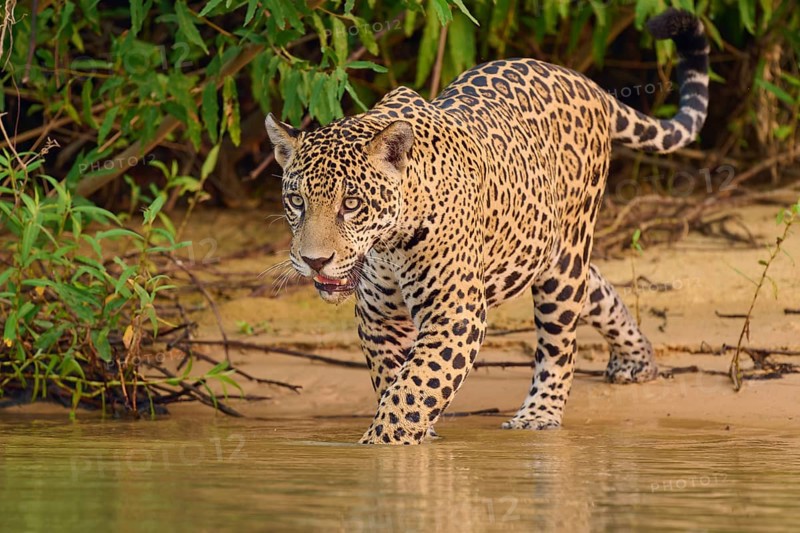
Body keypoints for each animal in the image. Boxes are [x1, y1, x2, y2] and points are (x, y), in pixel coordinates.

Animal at [265, 8, 709, 445]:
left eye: (352, 204)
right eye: (297, 201)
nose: (314, 261)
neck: (389, 242)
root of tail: (583, 82)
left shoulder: (455, 315)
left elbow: (413, 389)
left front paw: (383, 443)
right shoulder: (380, 318)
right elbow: (396, 383)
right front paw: (416, 437)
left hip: (565, 259)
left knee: (560, 344)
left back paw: (538, 416)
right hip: (547, 251)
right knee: (597, 288)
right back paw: (637, 359)